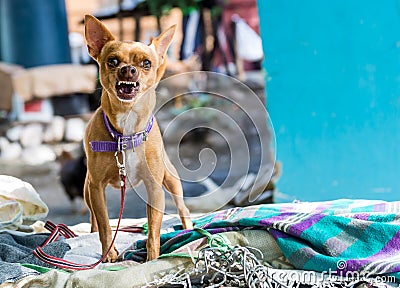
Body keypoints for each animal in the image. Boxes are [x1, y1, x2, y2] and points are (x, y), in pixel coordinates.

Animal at [83, 15, 192, 260]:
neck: (126, 129)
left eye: (146, 63)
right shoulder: (97, 188)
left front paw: (152, 259)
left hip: (171, 179)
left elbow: (153, 232)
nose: (128, 70)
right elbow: (104, 225)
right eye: (112, 61)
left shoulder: (155, 189)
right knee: (93, 218)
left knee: (183, 208)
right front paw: (109, 253)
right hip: (87, 190)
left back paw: (190, 229)